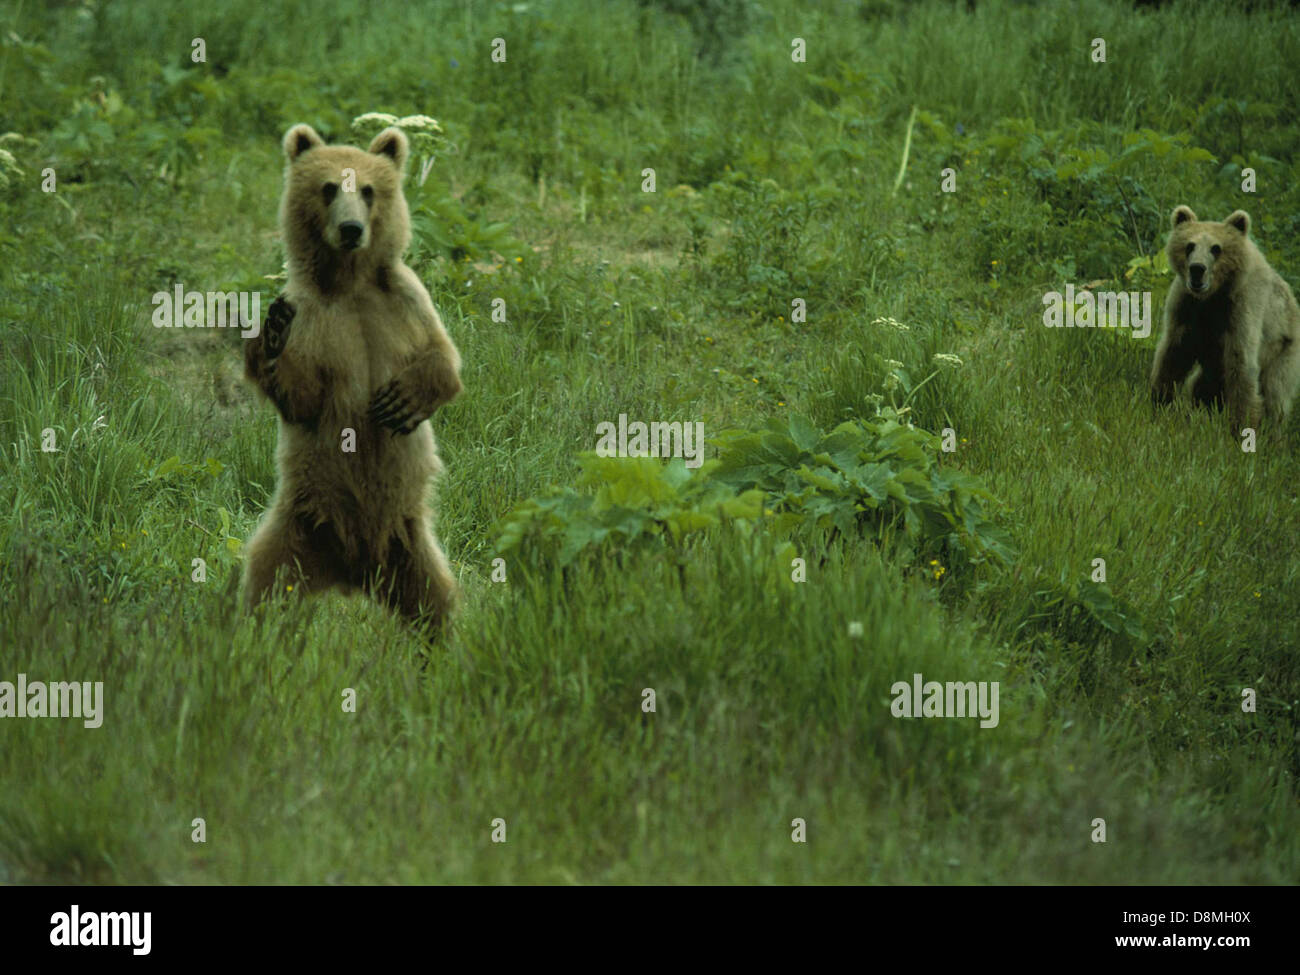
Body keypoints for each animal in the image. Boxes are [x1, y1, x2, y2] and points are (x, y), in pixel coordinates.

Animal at [242, 123, 463, 634]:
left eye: (368, 189)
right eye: (328, 188)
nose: (351, 229)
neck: (351, 283)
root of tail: (354, 572)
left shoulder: (404, 301)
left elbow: (443, 358)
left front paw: (401, 400)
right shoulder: (314, 316)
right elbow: (302, 395)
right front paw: (271, 336)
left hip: (410, 540)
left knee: (434, 600)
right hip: (297, 525)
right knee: (264, 583)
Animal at [1150, 205, 1300, 436]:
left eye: (1216, 248)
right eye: (1189, 245)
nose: (1197, 269)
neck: (1212, 296)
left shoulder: (1242, 307)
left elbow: (1242, 364)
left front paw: (1240, 428)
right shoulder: (1185, 306)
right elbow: (1174, 354)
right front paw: (1159, 403)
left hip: (1283, 351)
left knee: (1275, 395)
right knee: (1201, 386)